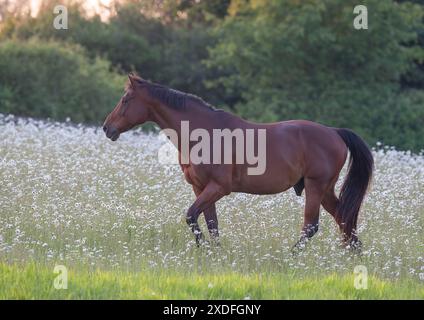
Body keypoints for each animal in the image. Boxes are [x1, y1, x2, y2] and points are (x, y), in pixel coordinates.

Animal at [104, 74, 372, 251]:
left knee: (311, 226)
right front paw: (216, 253)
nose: (107, 128)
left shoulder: (219, 188)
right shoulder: (201, 188)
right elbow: (211, 223)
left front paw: (205, 249)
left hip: (316, 186)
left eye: (126, 99)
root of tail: (334, 132)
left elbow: (191, 216)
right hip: (323, 189)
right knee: (343, 218)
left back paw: (291, 256)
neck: (203, 133)